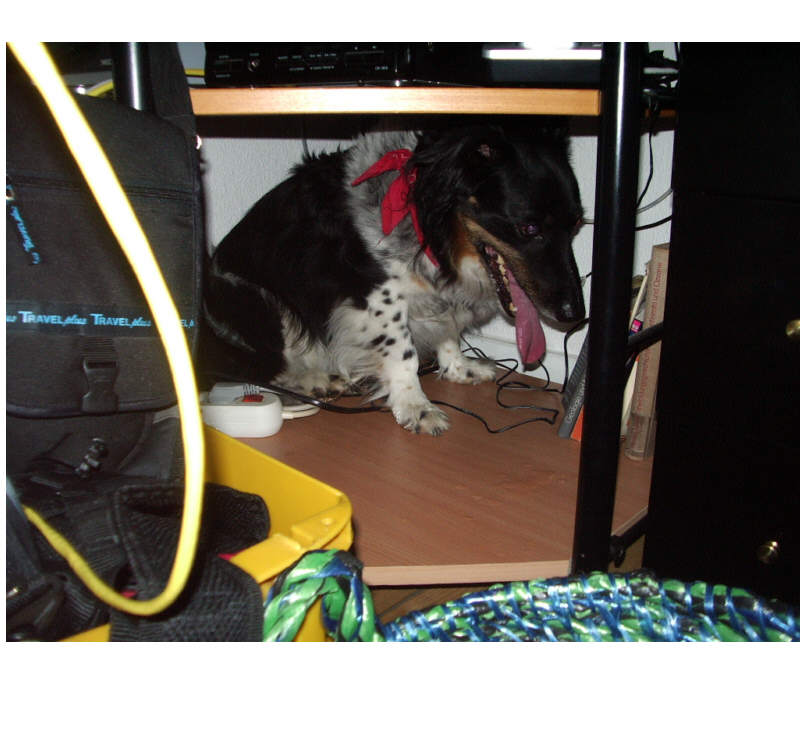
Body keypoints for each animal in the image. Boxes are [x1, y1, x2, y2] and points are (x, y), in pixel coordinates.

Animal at [198, 121, 586, 435]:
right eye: (529, 228)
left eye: (577, 225)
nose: (575, 315)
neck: (425, 219)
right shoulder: (375, 295)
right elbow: (404, 352)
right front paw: (415, 405)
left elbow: (448, 332)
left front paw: (458, 368)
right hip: (254, 301)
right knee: (252, 367)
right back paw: (314, 379)